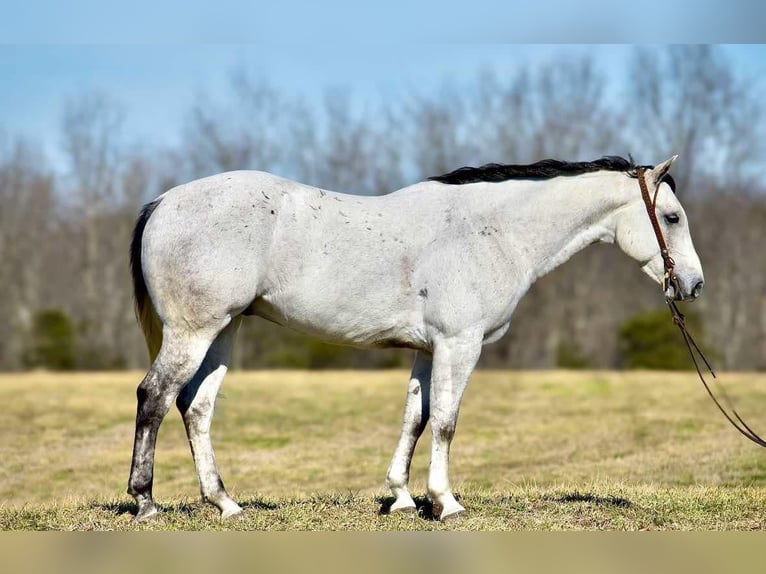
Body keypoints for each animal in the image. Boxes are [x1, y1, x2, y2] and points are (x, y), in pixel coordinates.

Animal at [127, 155, 708, 524]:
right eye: (672, 217)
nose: (693, 284)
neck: (490, 232)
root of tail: (163, 201)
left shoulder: (428, 351)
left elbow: (416, 417)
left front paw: (403, 498)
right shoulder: (459, 345)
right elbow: (446, 422)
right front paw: (445, 502)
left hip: (225, 331)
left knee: (196, 407)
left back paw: (225, 503)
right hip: (193, 332)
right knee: (154, 397)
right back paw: (145, 502)